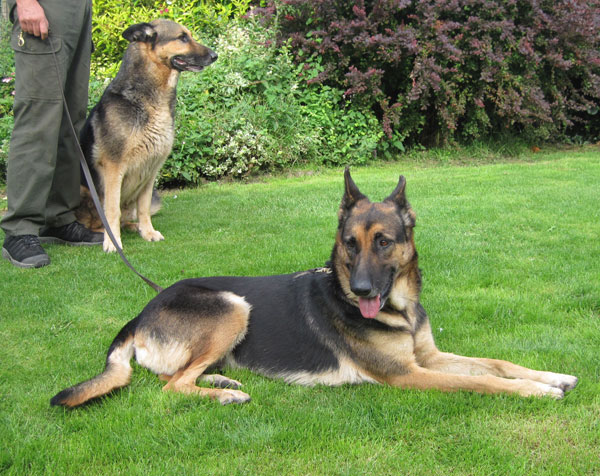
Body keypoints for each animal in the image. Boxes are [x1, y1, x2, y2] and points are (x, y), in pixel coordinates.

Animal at [50, 169, 576, 408]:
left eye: (384, 242)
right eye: (349, 244)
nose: (361, 292)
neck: (399, 310)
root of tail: (139, 314)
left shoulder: (427, 356)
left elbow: (496, 363)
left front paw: (551, 376)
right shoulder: (410, 374)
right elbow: (484, 380)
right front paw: (537, 391)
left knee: (177, 376)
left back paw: (222, 382)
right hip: (232, 305)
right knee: (171, 385)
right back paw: (224, 396)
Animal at [76, 19, 218, 253]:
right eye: (182, 38)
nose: (215, 55)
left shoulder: (150, 170)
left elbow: (142, 207)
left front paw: (148, 232)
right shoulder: (113, 168)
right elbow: (111, 209)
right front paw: (112, 242)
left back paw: (134, 227)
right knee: (96, 221)